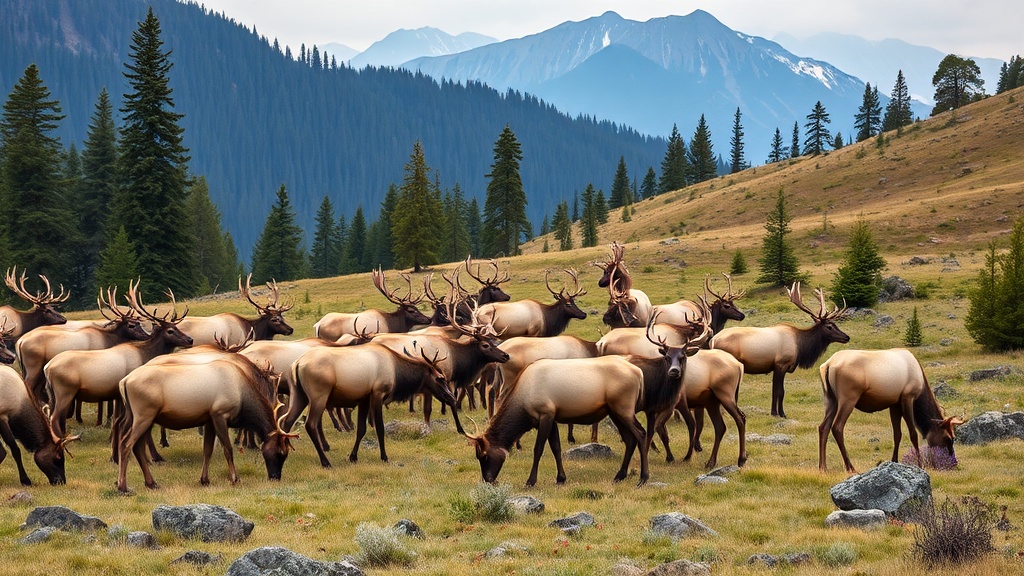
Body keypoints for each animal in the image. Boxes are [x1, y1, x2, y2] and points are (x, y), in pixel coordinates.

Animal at [115, 356, 298, 492]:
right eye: (281, 452)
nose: (275, 477)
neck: (243, 398)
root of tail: (124, 381)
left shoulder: (209, 419)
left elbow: (207, 450)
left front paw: (204, 479)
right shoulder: (219, 414)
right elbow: (228, 449)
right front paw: (234, 478)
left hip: (137, 417)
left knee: (137, 446)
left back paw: (151, 483)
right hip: (144, 415)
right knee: (126, 444)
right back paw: (123, 486)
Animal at [284, 344, 458, 467]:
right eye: (440, 378)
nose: (452, 398)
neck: (397, 372)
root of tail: (296, 364)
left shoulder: (364, 399)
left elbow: (361, 429)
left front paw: (353, 457)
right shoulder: (378, 393)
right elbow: (379, 428)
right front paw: (384, 456)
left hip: (299, 395)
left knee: (287, 421)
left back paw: (283, 454)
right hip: (319, 396)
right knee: (310, 424)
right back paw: (325, 461)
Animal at [710, 282, 850, 418]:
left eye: (836, 324)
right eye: (829, 326)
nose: (847, 337)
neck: (801, 347)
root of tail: (713, 341)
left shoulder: (777, 367)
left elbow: (775, 391)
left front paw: (775, 412)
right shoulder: (781, 364)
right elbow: (780, 392)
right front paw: (780, 413)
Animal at [818, 348, 965, 473]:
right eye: (948, 438)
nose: (953, 463)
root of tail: (828, 364)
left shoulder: (894, 404)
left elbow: (897, 434)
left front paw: (894, 460)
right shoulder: (907, 397)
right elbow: (913, 433)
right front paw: (920, 464)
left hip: (830, 399)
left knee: (823, 427)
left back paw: (823, 467)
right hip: (848, 398)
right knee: (837, 427)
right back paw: (850, 467)